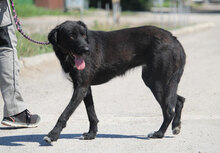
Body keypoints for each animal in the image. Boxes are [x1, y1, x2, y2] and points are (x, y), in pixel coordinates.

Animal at [43, 20, 186, 143]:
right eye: (71, 36)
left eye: (83, 35)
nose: (86, 50)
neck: (67, 57)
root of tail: (174, 38)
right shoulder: (85, 88)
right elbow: (91, 114)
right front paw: (91, 134)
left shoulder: (81, 87)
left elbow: (65, 114)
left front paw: (53, 135)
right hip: (160, 81)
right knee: (179, 100)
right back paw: (176, 126)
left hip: (155, 81)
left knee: (169, 111)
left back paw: (159, 134)